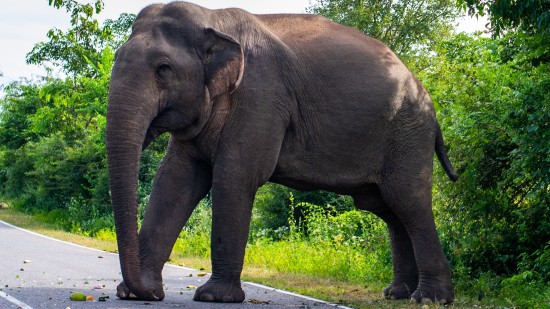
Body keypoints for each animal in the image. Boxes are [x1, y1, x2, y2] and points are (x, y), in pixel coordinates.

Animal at [105, 1, 460, 304]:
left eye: (163, 68)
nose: (153, 296)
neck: (213, 18)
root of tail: (430, 106)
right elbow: (175, 180)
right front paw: (135, 293)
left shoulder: (261, 97)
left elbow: (235, 176)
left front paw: (213, 297)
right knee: (387, 208)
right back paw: (397, 293)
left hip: (408, 135)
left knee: (408, 201)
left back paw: (429, 298)